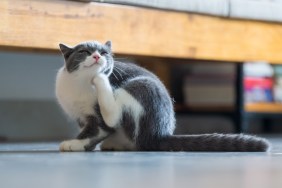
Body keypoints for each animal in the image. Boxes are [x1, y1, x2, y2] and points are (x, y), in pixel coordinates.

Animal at [55, 40, 270, 152]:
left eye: (104, 52)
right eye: (84, 51)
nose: (97, 56)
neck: (81, 83)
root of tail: (159, 134)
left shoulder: (98, 117)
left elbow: (97, 129)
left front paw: (73, 143)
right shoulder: (80, 116)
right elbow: (89, 131)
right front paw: (82, 144)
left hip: (141, 85)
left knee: (115, 116)